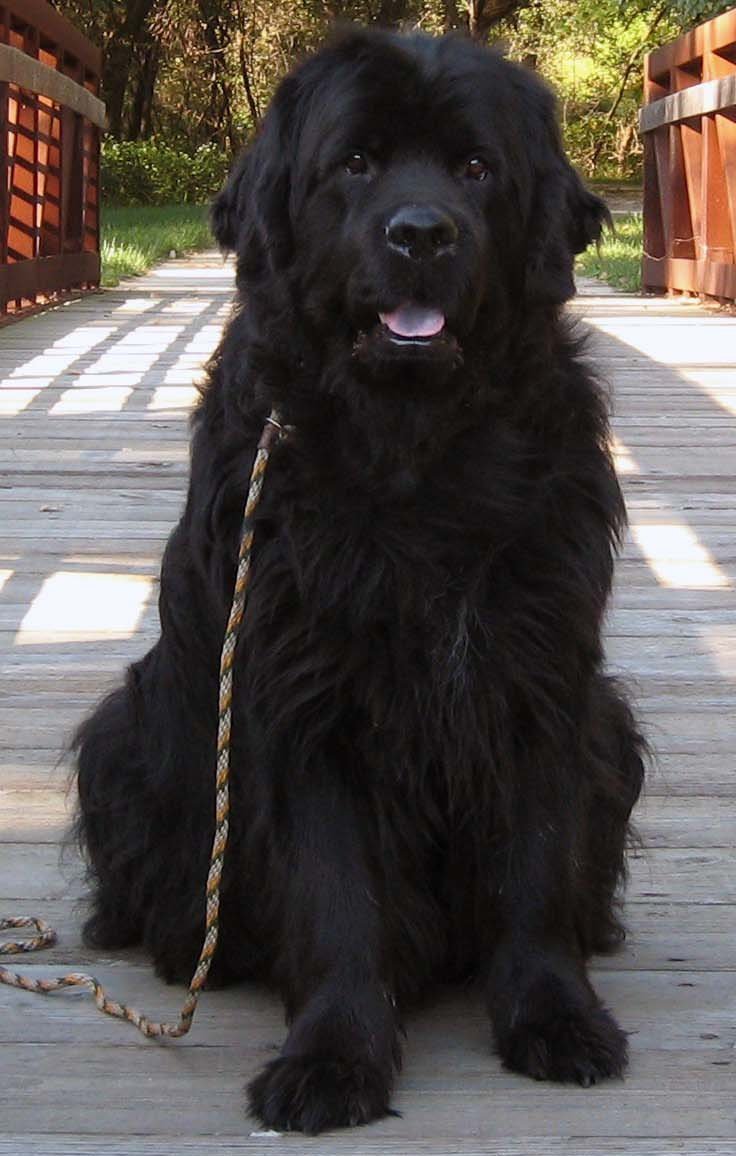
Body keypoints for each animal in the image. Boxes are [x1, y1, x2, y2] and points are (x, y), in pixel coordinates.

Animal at [74, 29, 642, 1137]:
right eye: (356, 163)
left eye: (476, 169)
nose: (421, 233)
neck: (415, 456)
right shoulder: (305, 694)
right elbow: (336, 890)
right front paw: (332, 1057)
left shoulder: (543, 678)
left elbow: (539, 863)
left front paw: (555, 1016)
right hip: (129, 725)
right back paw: (185, 941)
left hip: (615, 719)